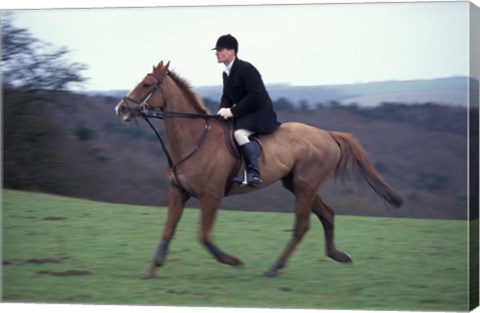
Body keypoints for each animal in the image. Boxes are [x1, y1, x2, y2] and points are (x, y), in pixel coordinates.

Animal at [114, 59, 404, 276]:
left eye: (147, 84)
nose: (121, 108)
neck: (194, 139)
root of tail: (327, 134)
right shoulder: (178, 193)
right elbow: (168, 230)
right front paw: (151, 270)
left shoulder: (211, 196)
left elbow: (204, 236)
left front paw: (233, 261)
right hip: (297, 183)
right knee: (327, 214)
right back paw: (337, 255)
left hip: (305, 185)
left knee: (302, 225)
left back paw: (275, 268)